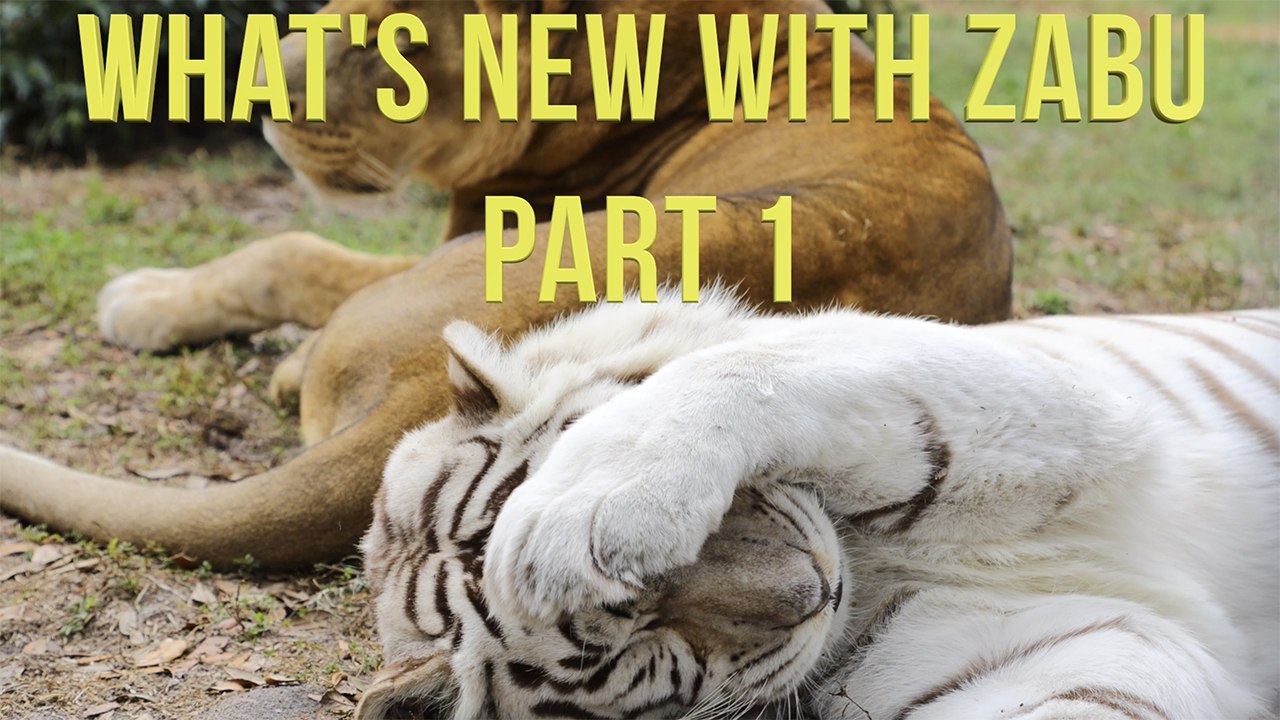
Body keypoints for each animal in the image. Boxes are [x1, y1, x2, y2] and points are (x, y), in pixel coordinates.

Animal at [355, 290, 1279, 719]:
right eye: (648, 646)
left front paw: (571, 515)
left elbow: (740, 367)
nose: (814, 588)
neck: (869, 557)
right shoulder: (1084, 646)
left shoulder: (1074, 405)